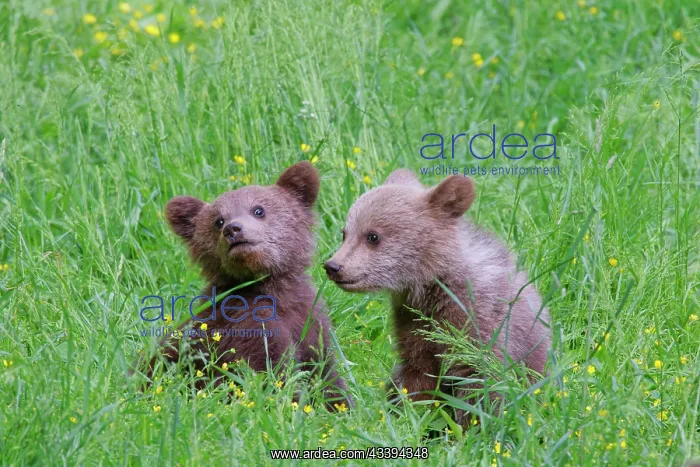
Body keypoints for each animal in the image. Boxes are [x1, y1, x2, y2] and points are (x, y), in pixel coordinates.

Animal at [144, 161, 352, 410]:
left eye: (258, 210)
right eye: (218, 220)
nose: (233, 229)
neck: (268, 288)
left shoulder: (309, 320)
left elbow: (323, 370)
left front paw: (343, 405)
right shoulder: (245, 326)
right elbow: (271, 372)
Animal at [323, 169, 550, 424]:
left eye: (373, 236)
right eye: (345, 233)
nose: (333, 266)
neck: (431, 288)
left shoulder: (478, 324)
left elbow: (480, 382)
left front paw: (474, 424)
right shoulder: (413, 327)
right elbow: (416, 379)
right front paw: (410, 415)